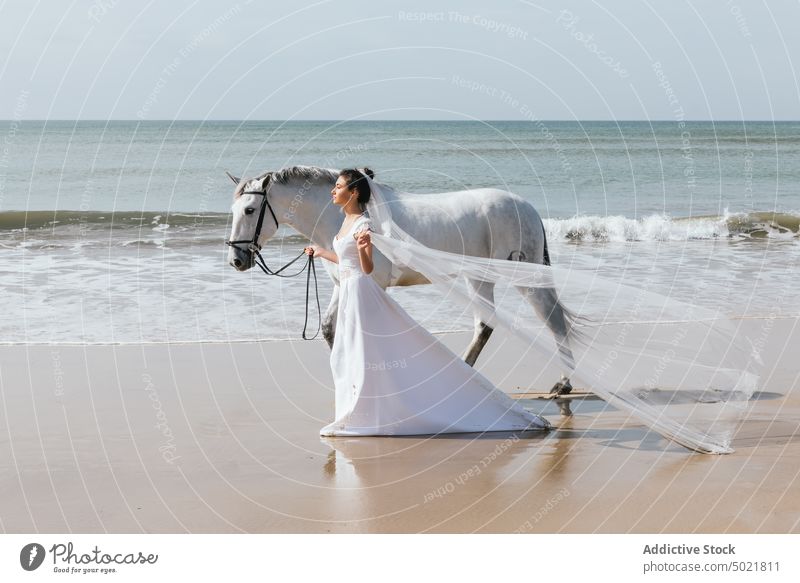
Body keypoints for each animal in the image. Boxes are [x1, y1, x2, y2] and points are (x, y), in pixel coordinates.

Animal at [228, 164, 572, 392]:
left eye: (249, 210)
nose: (236, 260)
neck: (339, 217)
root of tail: (527, 208)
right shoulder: (343, 283)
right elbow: (329, 329)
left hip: (523, 277)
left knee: (554, 320)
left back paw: (563, 384)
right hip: (479, 277)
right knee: (485, 326)